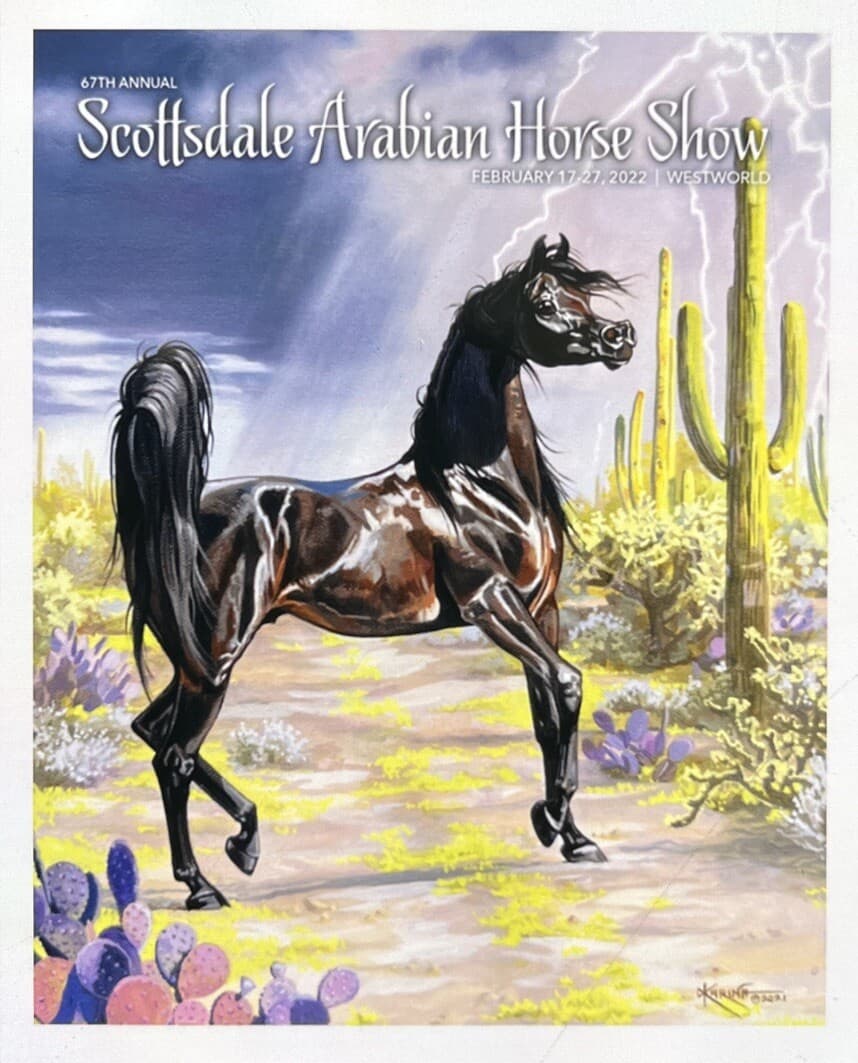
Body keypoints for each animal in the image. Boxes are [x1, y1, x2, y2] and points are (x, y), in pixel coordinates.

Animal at [111, 234, 636, 910]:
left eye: (584, 294)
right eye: (545, 301)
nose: (620, 336)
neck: (477, 486)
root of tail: (174, 513)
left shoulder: (541, 609)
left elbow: (547, 718)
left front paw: (572, 836)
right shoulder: (491, 603)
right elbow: (569, 684)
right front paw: (550, 819)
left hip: (194, 662)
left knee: (149, 730)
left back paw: (246, 840)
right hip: (215, 658)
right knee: (172, 756)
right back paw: (203, 888)